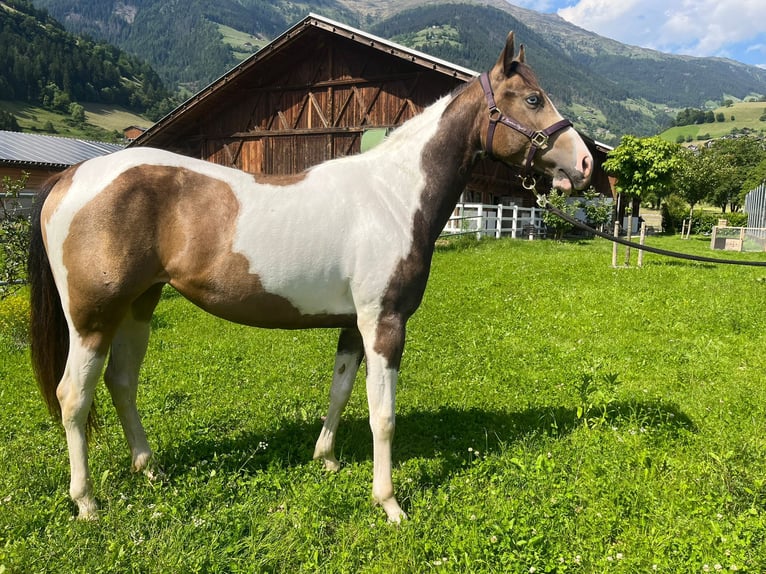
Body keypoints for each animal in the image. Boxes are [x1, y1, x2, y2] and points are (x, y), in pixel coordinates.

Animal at [28, 32, 592, 528]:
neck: (392, 195)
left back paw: (150, 470)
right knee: (73, 397)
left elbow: (341, 391)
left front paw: (326, 459)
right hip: (92, 319)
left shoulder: (353, 325)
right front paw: (389, 503)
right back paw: (87, 502)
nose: (585, 163)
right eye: (533, 98)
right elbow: (383, 414)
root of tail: (69, 178)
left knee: (121, 383)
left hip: (139, 305)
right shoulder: (384, 324)